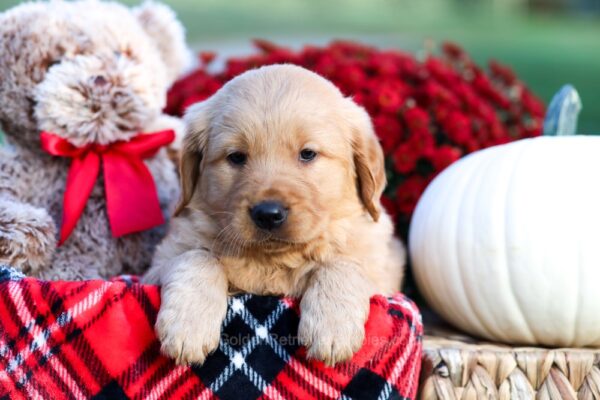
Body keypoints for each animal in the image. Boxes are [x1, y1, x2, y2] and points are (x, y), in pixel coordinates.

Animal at [145, 62, 406, 366]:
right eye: (236, 157)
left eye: (308, 154)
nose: (268, 214)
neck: (274, 260)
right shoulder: (156, 266)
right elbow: (197, 256)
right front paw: (187, 326)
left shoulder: (382, 269)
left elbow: (343, 264)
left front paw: (332, 328)